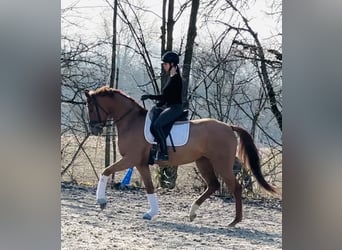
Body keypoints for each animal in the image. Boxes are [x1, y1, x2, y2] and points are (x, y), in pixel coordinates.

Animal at [85, 86, 276, 227]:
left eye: (91, 107)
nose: (94, 129)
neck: (131, 122)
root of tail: (229, 127)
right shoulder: (141, 163)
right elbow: (149, 187)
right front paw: (151, 213)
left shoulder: (131, 159)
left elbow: (106, 171)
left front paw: (101, 201)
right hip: (203, 162)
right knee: (213, 185)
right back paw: (192, 213)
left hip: (222, 164)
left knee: (235, 187)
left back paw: (234, 221)